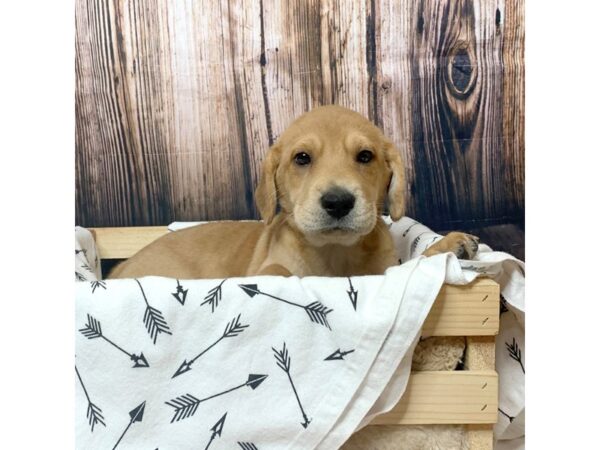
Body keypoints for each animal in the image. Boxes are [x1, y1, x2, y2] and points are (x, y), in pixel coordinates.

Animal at [109, 107, 478, 280]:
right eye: (302, 158)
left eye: (365, 156)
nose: (338, 202)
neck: (335, 254)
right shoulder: (269, 267)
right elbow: (279, 271)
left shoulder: (387, 271)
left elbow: (415, 262)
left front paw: (449, 244)